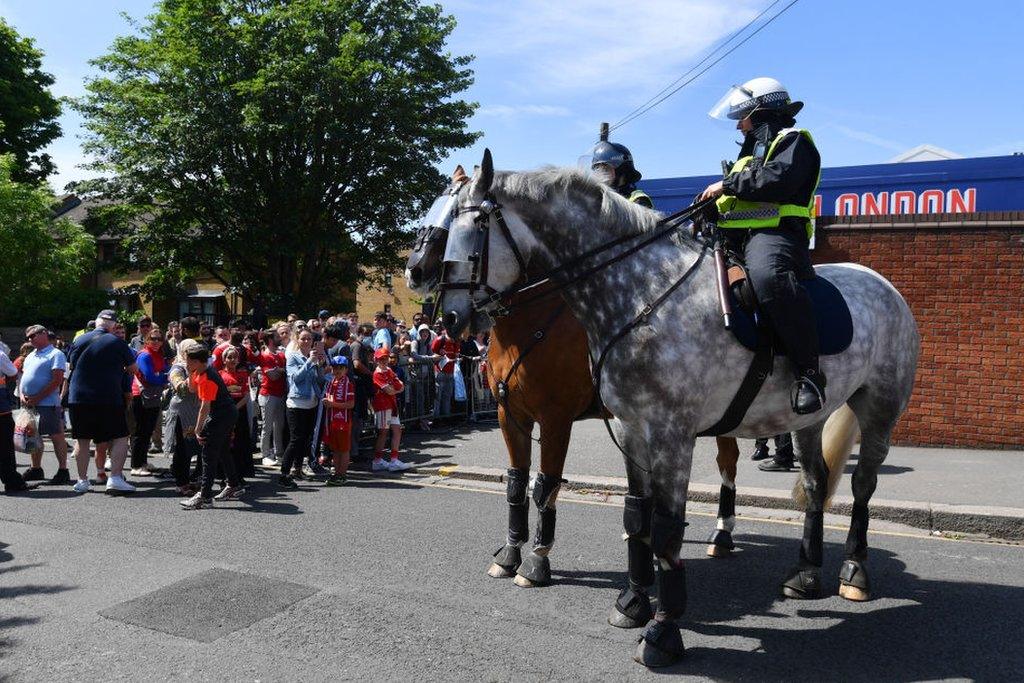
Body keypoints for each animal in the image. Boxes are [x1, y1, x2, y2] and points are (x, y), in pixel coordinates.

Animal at [434, 149, 921, 667]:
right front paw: (633, 601)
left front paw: (663, 632)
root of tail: (882, 284)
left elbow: (663, 526)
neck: (643, 297)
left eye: (475, 229)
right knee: (815, 482)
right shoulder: (628, 428)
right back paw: (806, 574)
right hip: (808, 419)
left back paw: (854, 571)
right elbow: (635, 514)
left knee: (862, 484)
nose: (449, 317)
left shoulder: (662, 433)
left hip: (880, 407)